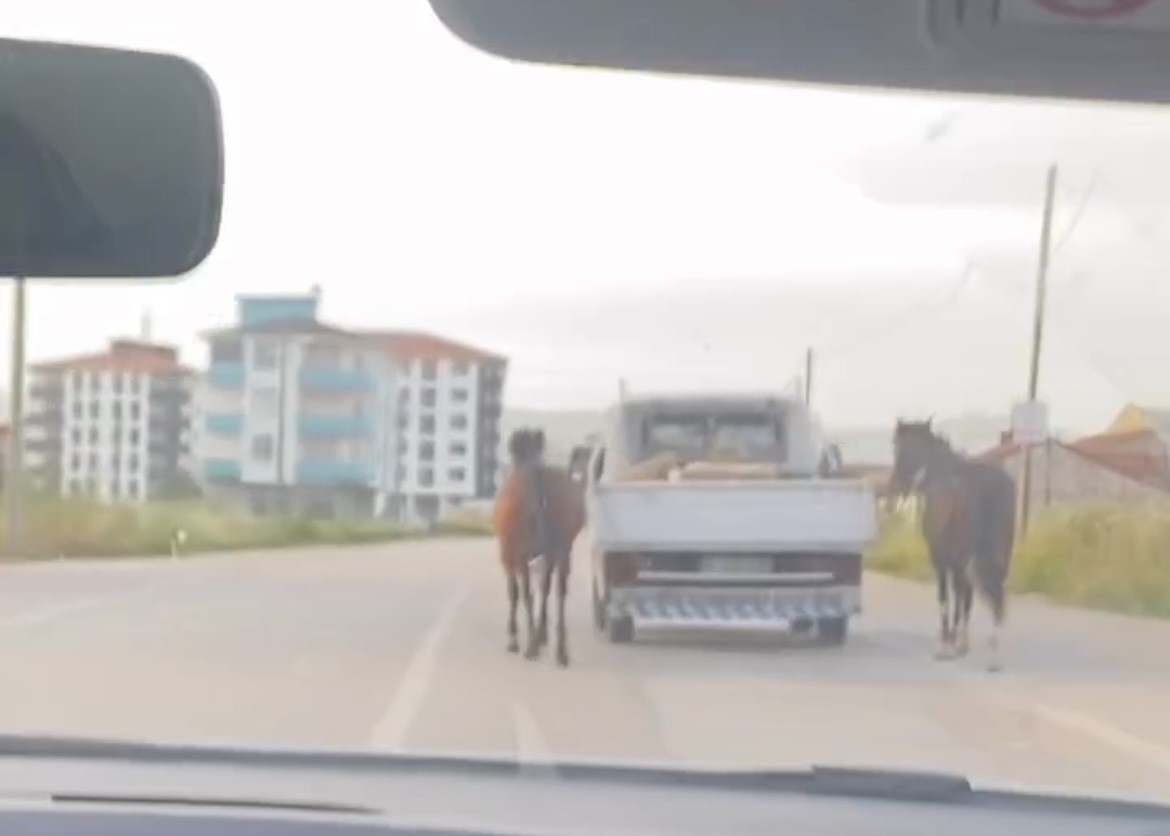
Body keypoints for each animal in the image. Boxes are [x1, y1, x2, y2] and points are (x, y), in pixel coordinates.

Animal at [491, 427, 585, 664]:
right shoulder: (550, 552)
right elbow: (546, 587)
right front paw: (542, 635)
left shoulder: (509, 553)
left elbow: (515, 592)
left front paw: (514, 638)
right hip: (562, 549)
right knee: (559, 590)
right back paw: (560, 650)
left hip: (520, 553)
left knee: (526, 592)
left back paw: (530, 645)